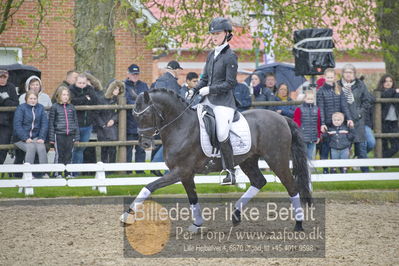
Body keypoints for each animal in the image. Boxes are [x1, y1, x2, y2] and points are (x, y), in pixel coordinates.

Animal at [122, 89, 312, 231]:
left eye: (146, 114)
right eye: (134, 115)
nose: (145, 143)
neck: (180, 126)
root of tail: (282, 118)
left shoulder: (180, 171)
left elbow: (149, 187)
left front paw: (126, 216)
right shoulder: (186, 174)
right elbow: (192, 198)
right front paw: (197, 224)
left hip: (277, 159)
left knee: (292, 187)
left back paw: (299, 224)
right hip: (248, 160)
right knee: (259, 181)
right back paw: (235, 215)